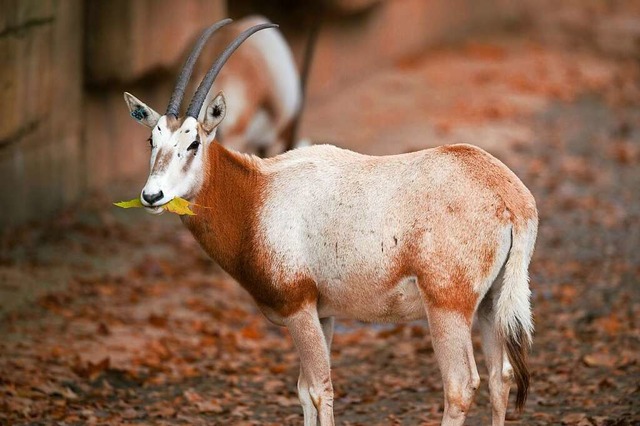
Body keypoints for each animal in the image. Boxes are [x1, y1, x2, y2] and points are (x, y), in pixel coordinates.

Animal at [122, 18, 536, 424]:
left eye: (193, 143)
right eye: (151, 141)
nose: (152, 196)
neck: (256, 193)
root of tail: (512, 198)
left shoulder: (299, 308)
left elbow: (320, 390)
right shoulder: (325, 314)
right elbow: (305, 391)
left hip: (447, 306)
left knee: (460, 385)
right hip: (491, 302)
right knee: (500, 378)